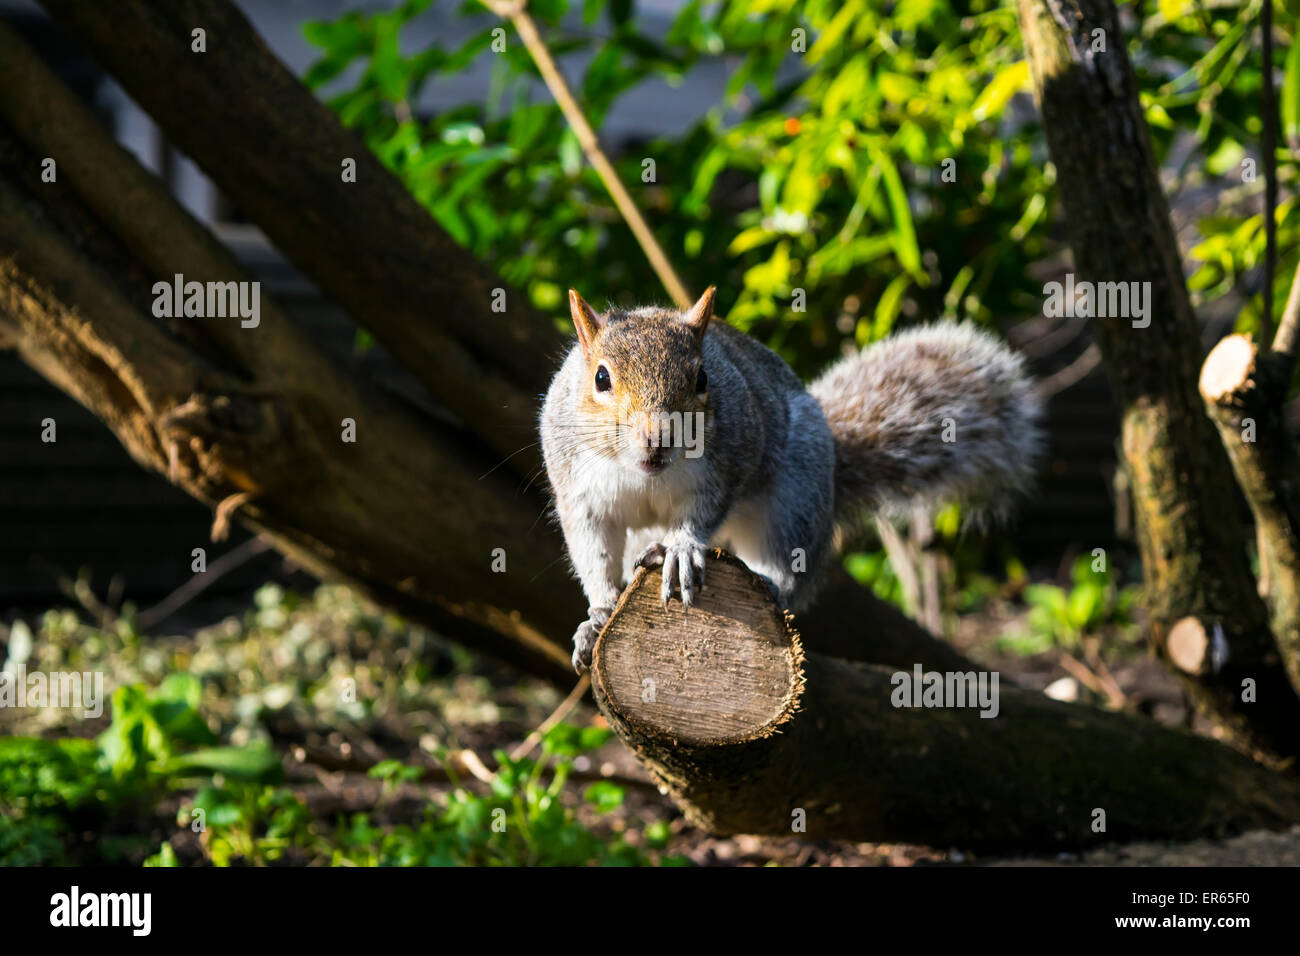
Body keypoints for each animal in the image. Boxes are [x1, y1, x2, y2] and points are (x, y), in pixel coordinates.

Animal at [543, 287, 1040, 671]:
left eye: (702, 378)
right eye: (600, 378)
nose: (657, 439)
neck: (644, 475)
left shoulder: (727, 468)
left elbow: (702, 516)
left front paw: (682, 548)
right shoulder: (578, 494)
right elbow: (592, 551)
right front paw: (598, 614)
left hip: (797, 496)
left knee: (787, 567)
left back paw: (771, 582)